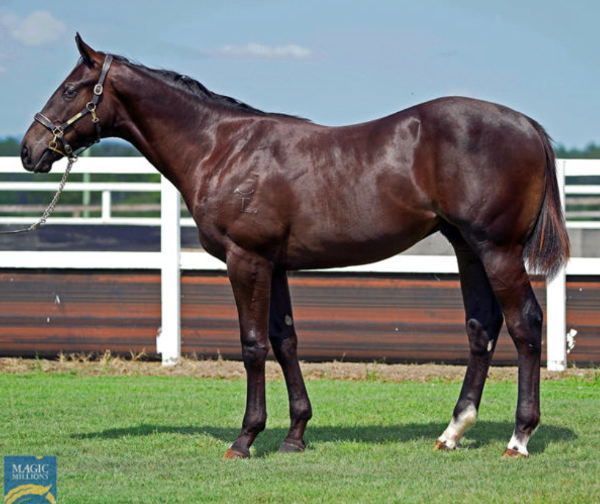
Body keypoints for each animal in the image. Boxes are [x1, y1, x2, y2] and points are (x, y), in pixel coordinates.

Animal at [21, 34, 568, 460]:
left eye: (69, 89)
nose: (29, 150)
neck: (220, 148)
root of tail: (528, 125)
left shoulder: (246, 260)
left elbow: (253, 345)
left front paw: (245, 439)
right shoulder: (274, 264)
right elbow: (284, 340)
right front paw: (295, 434)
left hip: (497, 250)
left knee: (524, 326)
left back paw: (519, 438)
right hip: (467, 248)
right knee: (482, 328)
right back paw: (452, 432)